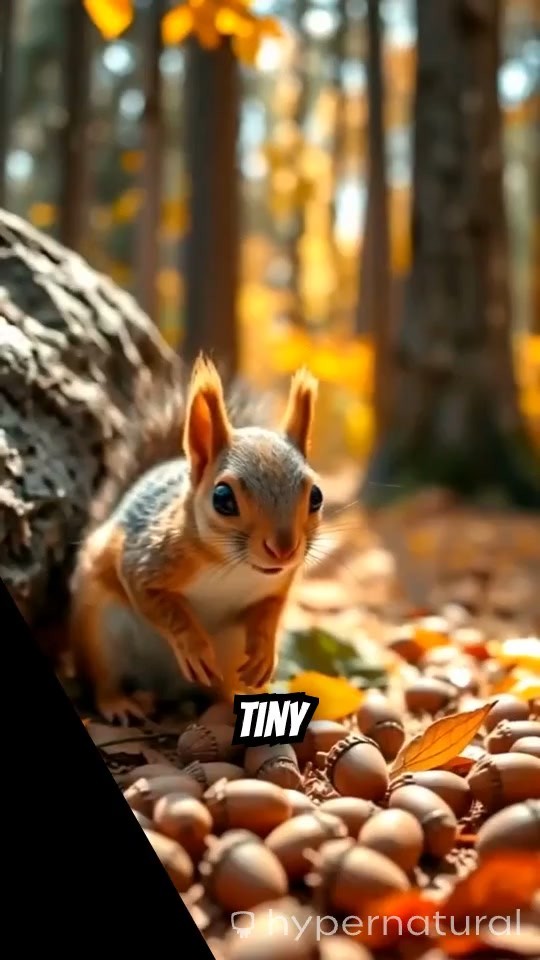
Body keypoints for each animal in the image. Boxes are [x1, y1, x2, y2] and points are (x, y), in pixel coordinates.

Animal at [69, 354, 323, 724]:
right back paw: (120, 703)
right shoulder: (145, 561)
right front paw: (194, 647)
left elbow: (270, 611)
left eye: (316, 496)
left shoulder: (278, 584)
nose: (283, 550)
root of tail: (166, 687)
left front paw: (264, 652)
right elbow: (161, 605)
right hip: (100, 630)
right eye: (223, 498)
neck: (234, 568)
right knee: (104, 679)